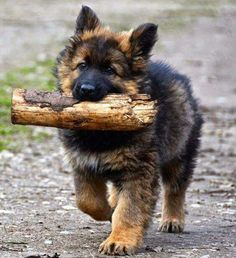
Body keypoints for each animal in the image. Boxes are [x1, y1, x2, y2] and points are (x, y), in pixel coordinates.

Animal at [55, 6, 203, 256]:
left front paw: (120, 240)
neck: (100, 131)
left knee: (175, 188)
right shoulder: (83, 163)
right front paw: (108, 212)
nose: (85, 89)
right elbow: (87, 201)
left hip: (180, 151)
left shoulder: (139, 170)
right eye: (82, 65)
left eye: (109, 70)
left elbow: (129, 209)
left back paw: (172, 219)